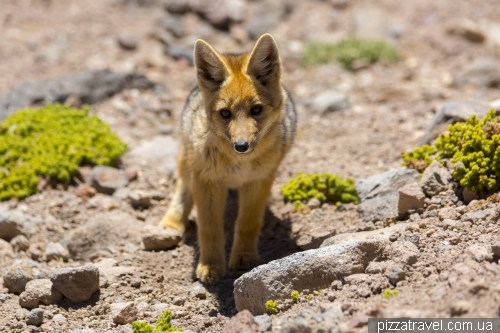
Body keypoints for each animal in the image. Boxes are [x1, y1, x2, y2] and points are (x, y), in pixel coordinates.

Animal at [158, 33, 294, 282]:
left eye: (256, 110)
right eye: (225, 113)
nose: (241, 146)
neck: (237, 164)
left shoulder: (258, 180)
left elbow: (248, 222)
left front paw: (244, 257)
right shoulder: (206, 181)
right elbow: (209, 228)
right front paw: (211, 265)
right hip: (188, 163)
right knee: (182, 186)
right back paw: (172, 223)